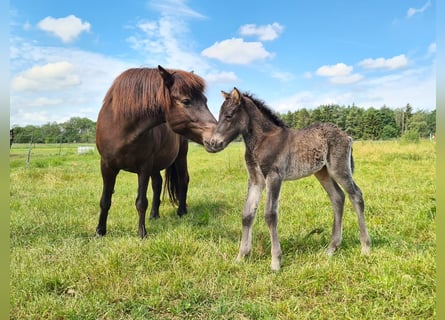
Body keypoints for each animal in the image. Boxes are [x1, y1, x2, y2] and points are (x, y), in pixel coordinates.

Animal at [95, 66, 217, 239]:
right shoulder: (107, 166)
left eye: (205, 100)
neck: (120, 127)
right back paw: (154, 214)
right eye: (186, 101)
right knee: (158, 183)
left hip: (180, 157)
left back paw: (181, 211)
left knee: (183, 179)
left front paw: (141, 233)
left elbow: (141, 202)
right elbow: (105, 201)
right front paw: (100, 231)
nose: (216, 138)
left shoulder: (144, 167)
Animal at [206, 87, 372, 270]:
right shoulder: (256, 179)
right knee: (337, 197)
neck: (262, 140)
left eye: (229, 116)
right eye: (219, 115)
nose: (213, 143)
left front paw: (275, 262)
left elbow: (270, 215)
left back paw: (365, 247)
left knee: (356, 195)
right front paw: (241, 256)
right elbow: (247, 214)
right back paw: (331, 248)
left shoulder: (274, 176)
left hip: (339, 169)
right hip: (322, 172)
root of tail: (347, 136)